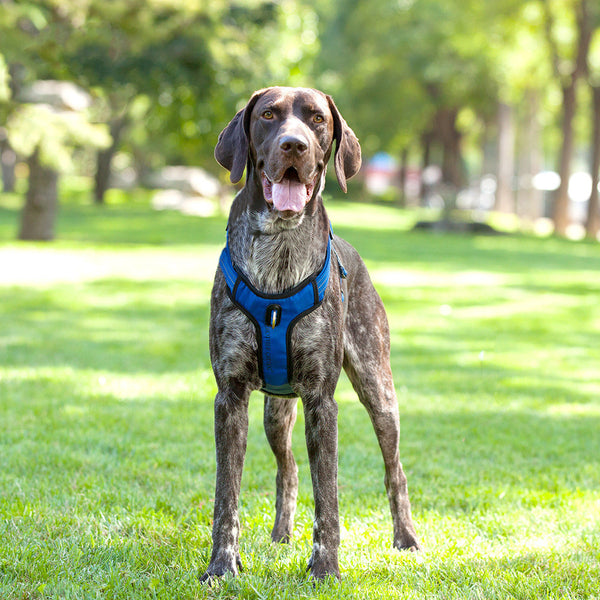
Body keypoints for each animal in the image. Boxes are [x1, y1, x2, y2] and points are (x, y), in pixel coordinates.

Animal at [200, 85, 418, 580]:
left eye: (317, 118)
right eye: (268, 114)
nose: (294, 145)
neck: (279, 251)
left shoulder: (321, 401)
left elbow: (329, 497)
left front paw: (326, 567)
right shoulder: (231, 397)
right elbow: (227, 497)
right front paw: (222, 565)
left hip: (379, 391)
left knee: (394, 470)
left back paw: (407, 539)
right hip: (275, 412)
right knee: (289, 469)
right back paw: (281, 534)